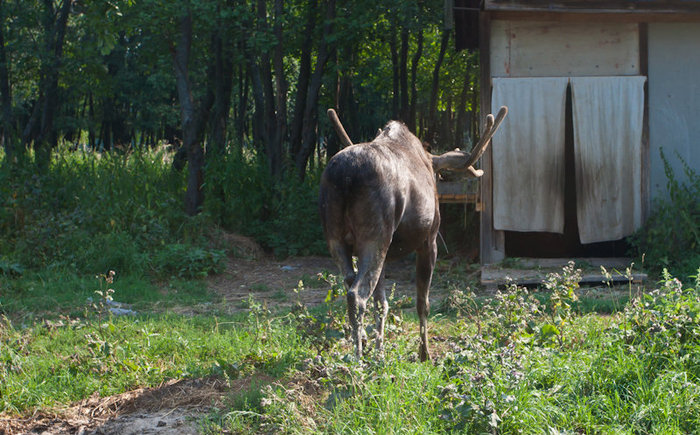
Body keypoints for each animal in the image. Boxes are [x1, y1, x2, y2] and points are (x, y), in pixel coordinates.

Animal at [320, 105, 506, 362]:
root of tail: (347, 177)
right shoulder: (429, 241)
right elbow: (422, 303)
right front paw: (424, 353)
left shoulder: (387, 254)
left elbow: (382, 303)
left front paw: (380, 351)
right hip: (375, 237)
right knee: (356, 294)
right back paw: (358, 359)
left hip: (336, 239)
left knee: (350, 282)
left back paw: (364, 344)